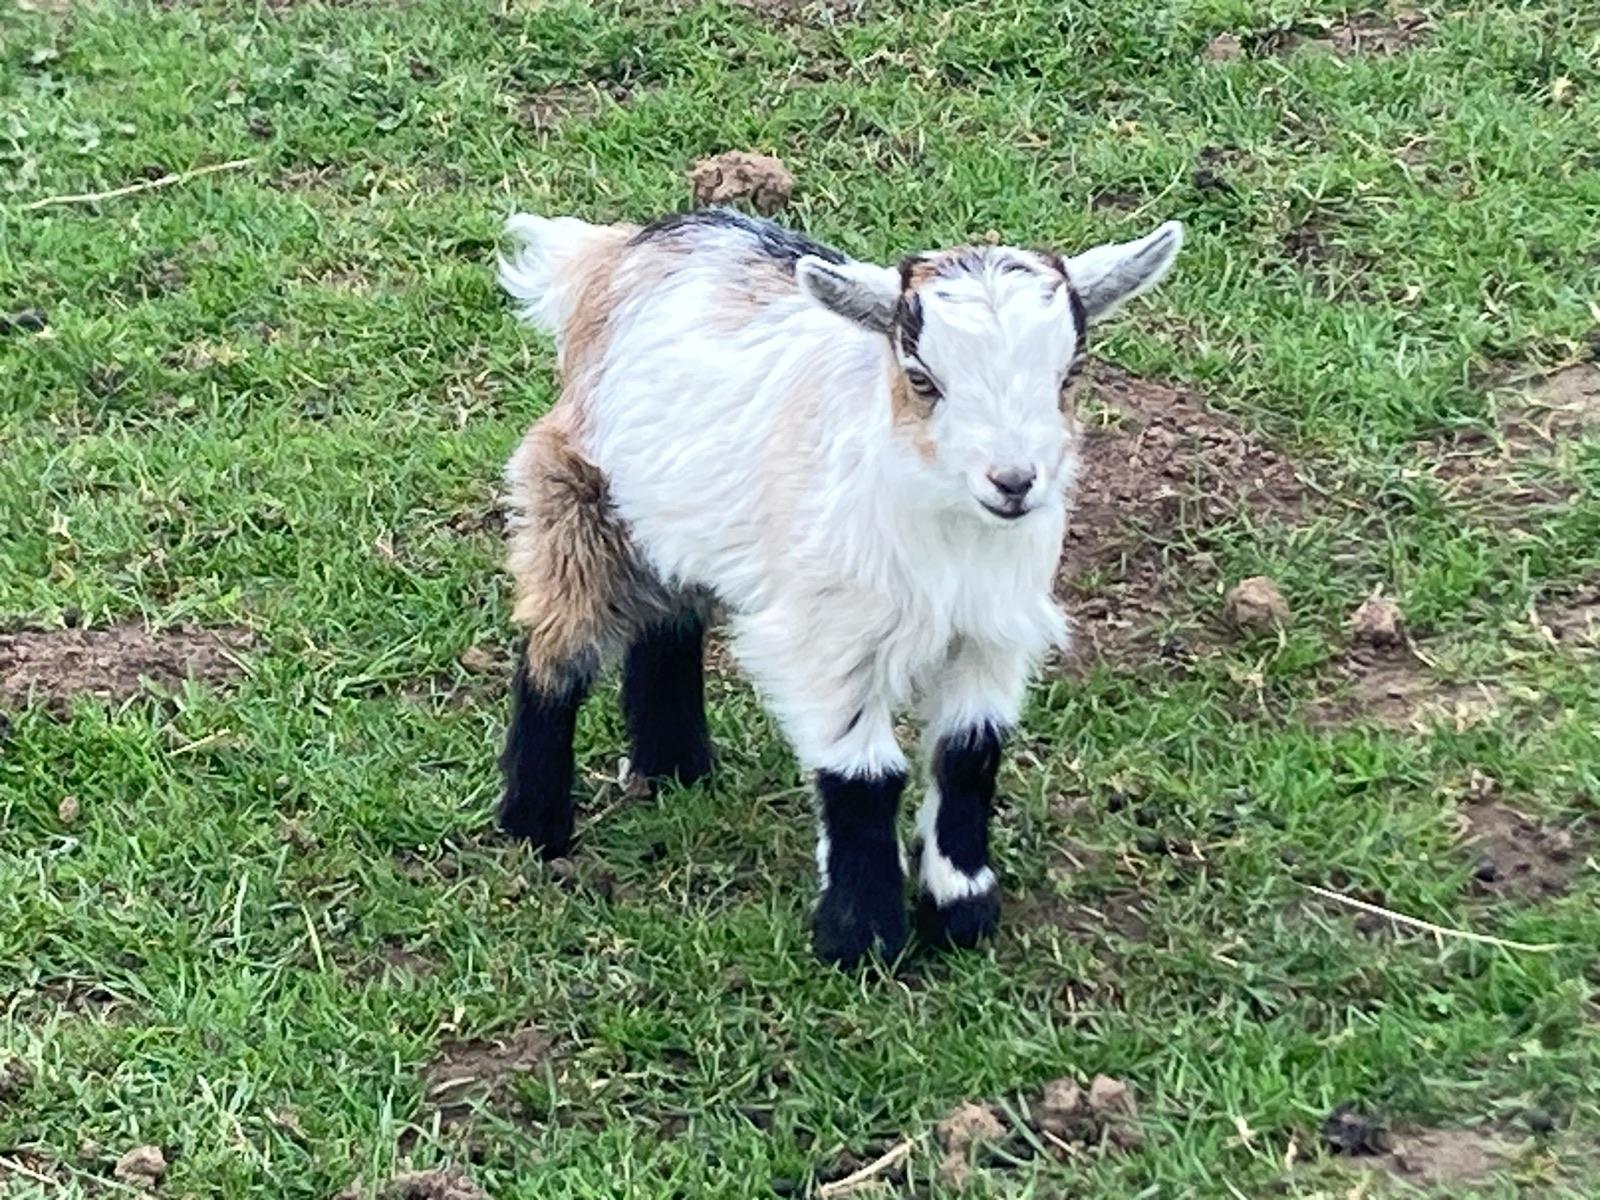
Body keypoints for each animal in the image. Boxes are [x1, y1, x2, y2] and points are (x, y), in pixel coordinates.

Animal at [495, 206, 1183, 966]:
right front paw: (863, 936)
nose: (1013, 481)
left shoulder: (990, 635)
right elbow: (862, 775)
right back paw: (535, 823)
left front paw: (960, 911)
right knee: (556, 644)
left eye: (1070, 373)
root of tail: (614, 253)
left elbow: (969, 757)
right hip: (578, 494)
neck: (948, 529)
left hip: (678, 516)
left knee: (668, 622)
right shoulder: (831, 637)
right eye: (922, 377)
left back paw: (675, 769)